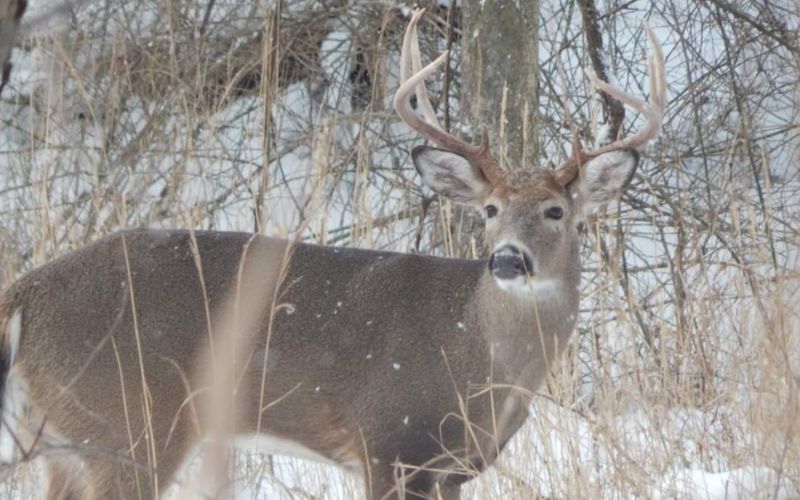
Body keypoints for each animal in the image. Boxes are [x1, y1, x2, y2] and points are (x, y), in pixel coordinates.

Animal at [0, 8, 665, 500]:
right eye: (490, 210)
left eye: (556, 212)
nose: (507, 261)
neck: (480, 360)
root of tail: (22, 293)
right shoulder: (389, 442)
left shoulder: (450, 469)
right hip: (127, 423)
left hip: (62, 438)